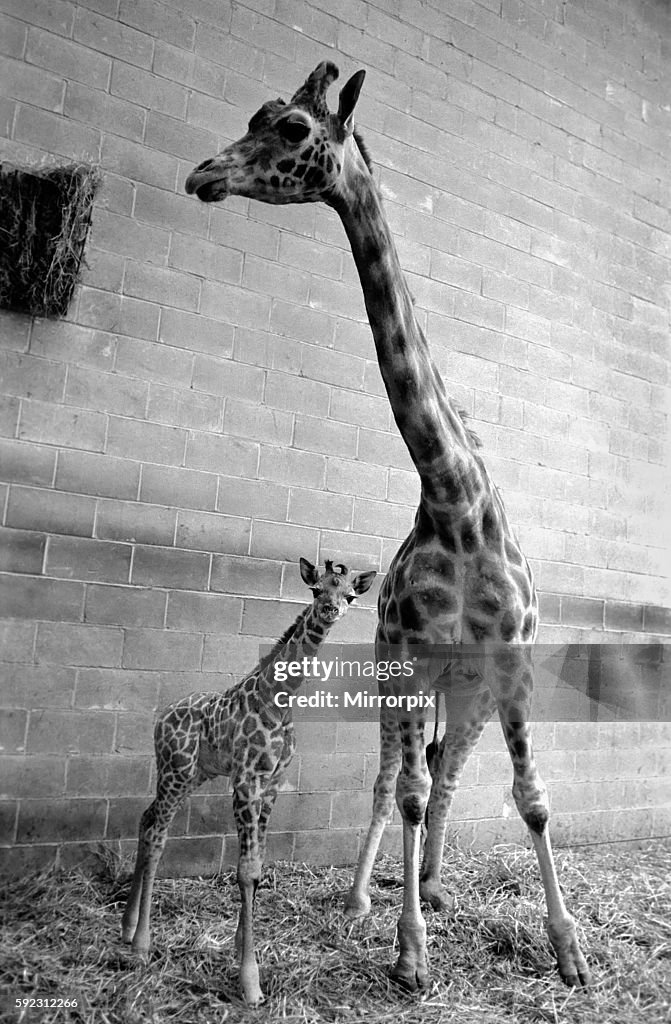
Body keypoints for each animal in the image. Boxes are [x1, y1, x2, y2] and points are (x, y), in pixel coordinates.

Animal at [186, 59, 590, 987]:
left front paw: (567, 950)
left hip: (466, 690)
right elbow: (402, 793)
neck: (455, 496)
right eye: (254, 116)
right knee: (395, 781)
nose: (203, 174)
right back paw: (367, 898)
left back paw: (435, 885)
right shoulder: (405, 655)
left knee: (444, 769)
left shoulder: (509, 660)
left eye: (292, 128)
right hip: (398, 677)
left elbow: (532, 799)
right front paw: (409, 954)